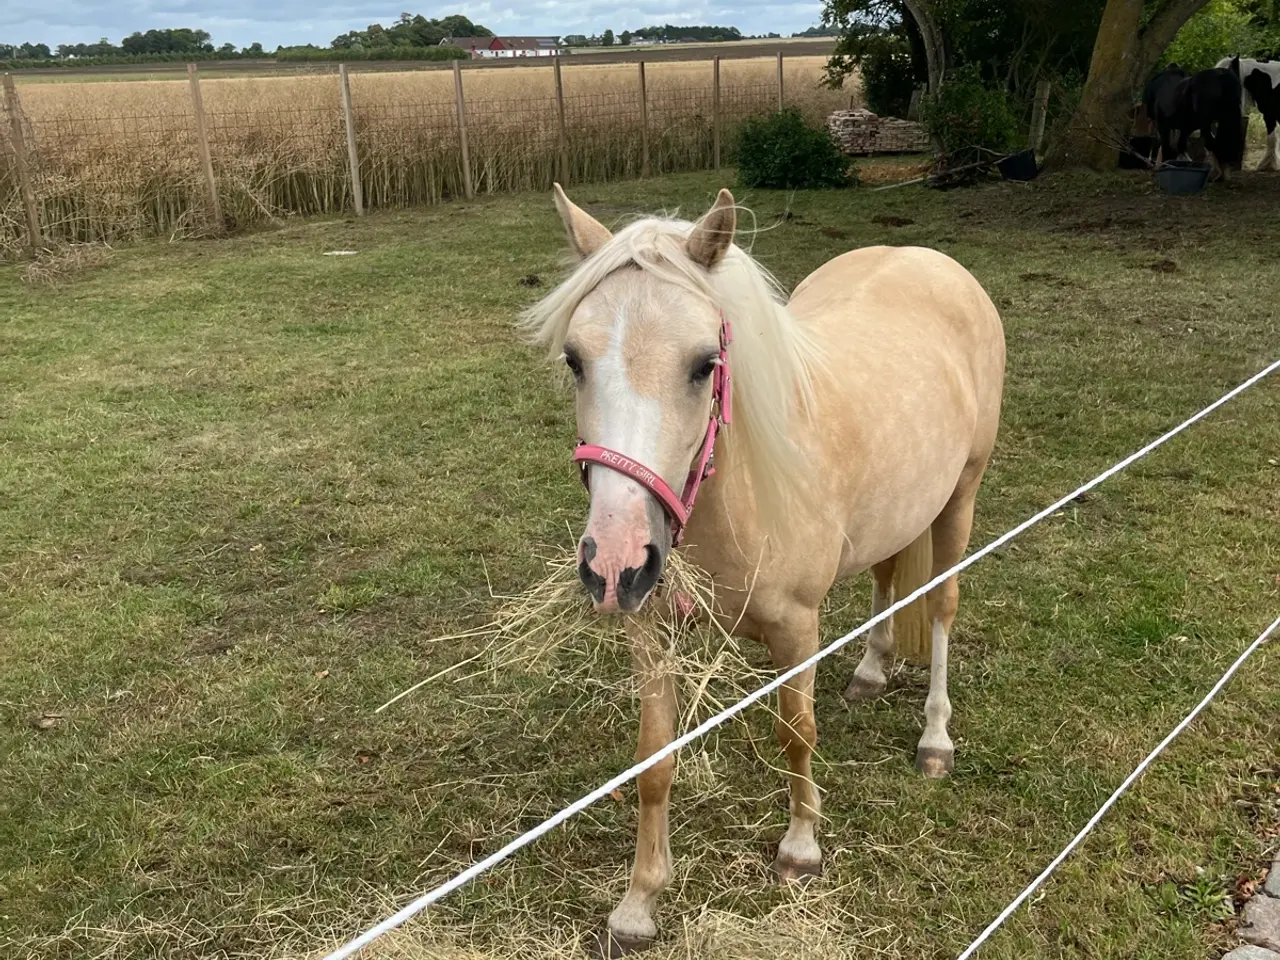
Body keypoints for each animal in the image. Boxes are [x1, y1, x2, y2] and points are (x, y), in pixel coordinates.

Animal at [520, 184, 1006, 957]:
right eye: (574, 359)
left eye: (702, 365)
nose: (615, 562)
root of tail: (930, 261)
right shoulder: (651, 634)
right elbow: (654, 760)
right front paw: (638, 902)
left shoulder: (797, 631)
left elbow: (796, 734)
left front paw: (801, 848)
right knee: (885, 581)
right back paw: (871, 672)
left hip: (959, 499)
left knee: (940, 608)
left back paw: (935, 738)